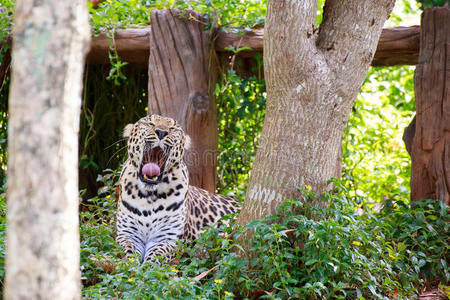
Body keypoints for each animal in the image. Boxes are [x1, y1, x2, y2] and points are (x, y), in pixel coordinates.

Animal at [115, 113, 239, 264]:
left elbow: (156, 255)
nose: (161, 132)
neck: (149, 196)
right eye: (150, 123)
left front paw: (146, 267)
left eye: (172, 128)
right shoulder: (127, 234)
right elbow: (128, 252)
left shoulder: (167, 238)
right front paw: (129, 265)